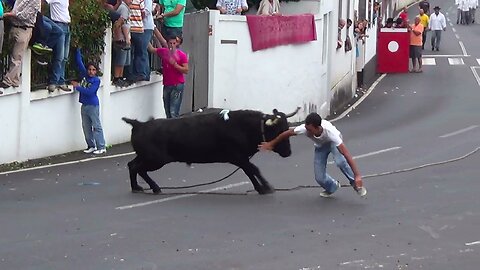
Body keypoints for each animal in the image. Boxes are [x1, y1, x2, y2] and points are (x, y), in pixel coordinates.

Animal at [122, 107, 298, 194]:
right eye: (279, 130)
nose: (288, 152)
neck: (244, 126)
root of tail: (139, 124)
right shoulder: (238, 156)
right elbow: (253, 169)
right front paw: (266, 187)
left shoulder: (241, 158)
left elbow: (250, 171)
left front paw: (261, 187)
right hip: (155, 160)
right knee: (138, 168)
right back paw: (154, 188)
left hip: (146, 157)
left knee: (132, 166)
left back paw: (137, 187)